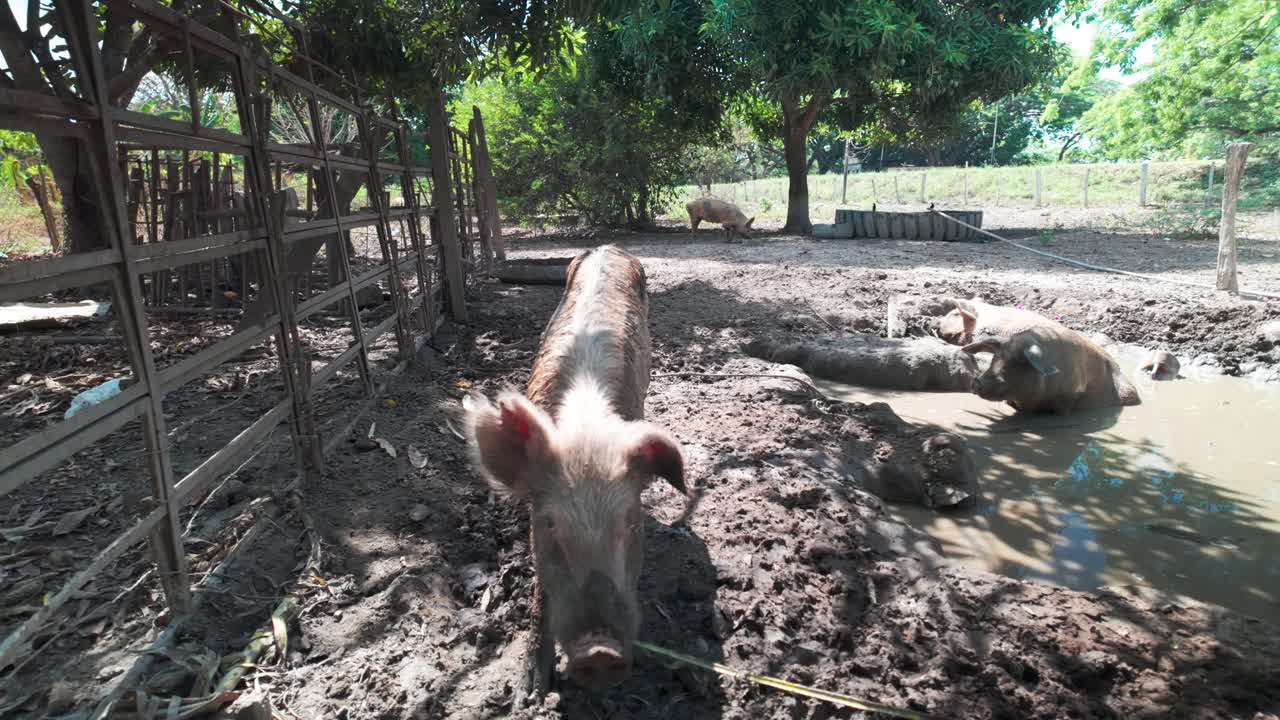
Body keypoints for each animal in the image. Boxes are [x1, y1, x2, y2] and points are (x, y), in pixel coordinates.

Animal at [461, 245, 689, 690]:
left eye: (631, 520)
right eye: (548, 524)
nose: (599, 651)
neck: (586, 430)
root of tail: (607, 248)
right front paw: (532, 690)